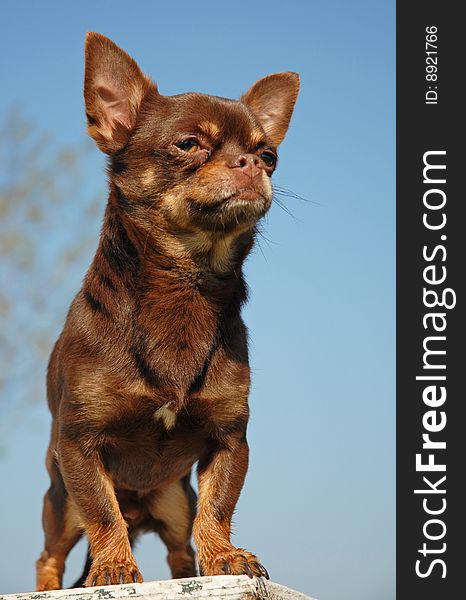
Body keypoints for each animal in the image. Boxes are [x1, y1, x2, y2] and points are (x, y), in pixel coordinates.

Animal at [35, 32, 298, 592]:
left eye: (269, 155)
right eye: (189, 145)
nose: (252, 165)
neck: (185, 284)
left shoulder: (228, 439)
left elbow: (218, 509)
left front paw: (227, 556)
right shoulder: (80, 445)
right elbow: (102, 513)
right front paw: (114, 568)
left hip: (174, 498)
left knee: (182, 549)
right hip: (61, 501)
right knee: (54, 552)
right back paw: (48, 586)